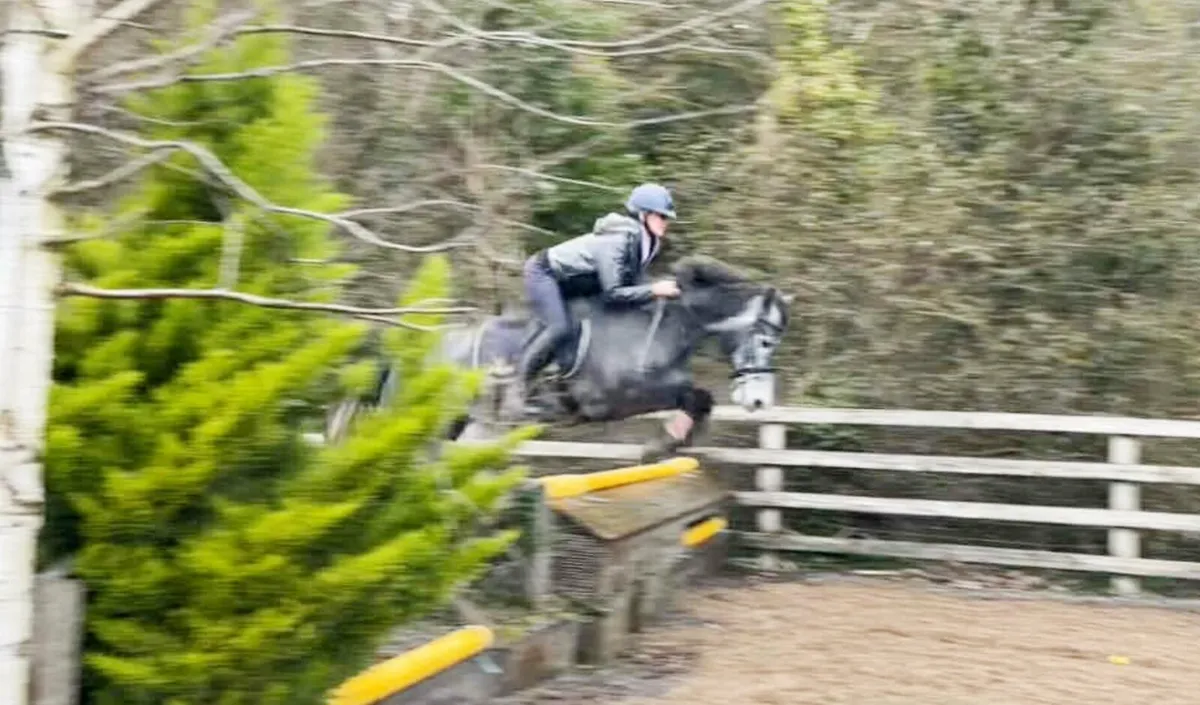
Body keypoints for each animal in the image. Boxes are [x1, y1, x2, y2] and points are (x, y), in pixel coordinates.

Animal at [325, 255, 791, 459]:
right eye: (766, 340)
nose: (759, 403)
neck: (662, 326)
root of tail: (403, 356)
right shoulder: (615, 399)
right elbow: (690, 395)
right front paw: (662, 443)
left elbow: (699, 398)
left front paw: (677, 439)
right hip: (421, 419)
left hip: (462, 423)